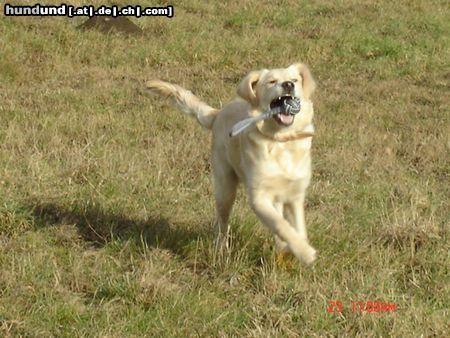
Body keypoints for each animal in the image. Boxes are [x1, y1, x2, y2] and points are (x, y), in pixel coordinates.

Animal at [147, 63, 316, 264]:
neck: (281, 141)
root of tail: (218, 113)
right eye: (272, 81)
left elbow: (297, 227)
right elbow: (281, 224)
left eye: (295, 80)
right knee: (222, 221)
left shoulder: (295, 194)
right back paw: (221, 250)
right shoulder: (258, 197)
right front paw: (305, 252)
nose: (289, 85)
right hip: (225, 186)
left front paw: (296, 247)